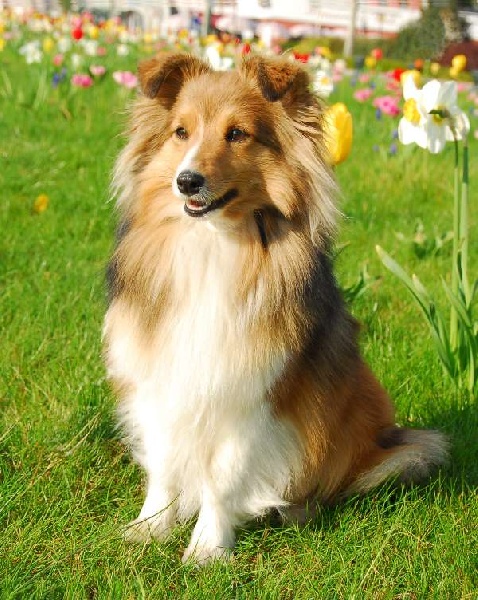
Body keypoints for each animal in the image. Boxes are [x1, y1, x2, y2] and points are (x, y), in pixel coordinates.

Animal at [102, 51, 448, 564]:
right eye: (181, 132)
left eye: (237, 133)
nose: (186, 182)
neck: (213, 243)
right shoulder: (160, 374)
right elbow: (164, 461)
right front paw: (149, 529)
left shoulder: (253, 388)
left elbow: (223, 476)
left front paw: (207, 548)